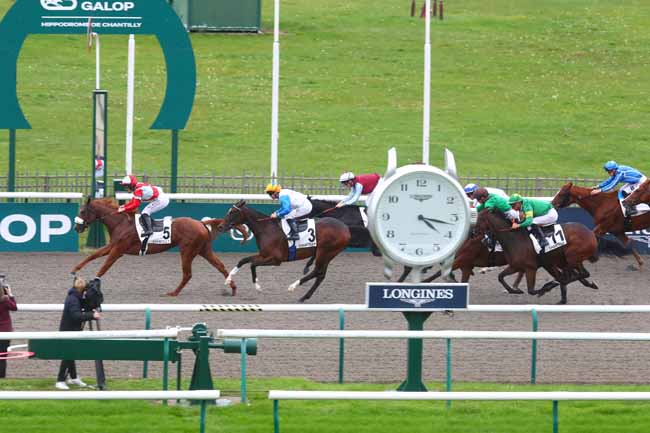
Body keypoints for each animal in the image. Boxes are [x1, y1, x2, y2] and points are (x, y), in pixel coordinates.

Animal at [71, 197, 248, 296]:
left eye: (82, 211)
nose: (77, 227)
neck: (120, 222)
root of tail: (201, 223)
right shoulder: (113, 246)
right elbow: (93, 255)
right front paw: (75, 269)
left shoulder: (118, 250)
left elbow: (104, 267)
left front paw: (93, 283)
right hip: (203, 250)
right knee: (220, 266)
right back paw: (232, 287)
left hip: (187, 251)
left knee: (187, 274)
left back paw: (174, 293)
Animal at [216, 198, 350, 300]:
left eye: (232, 212)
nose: (220, 226)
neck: (266, 229)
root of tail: (345, 229)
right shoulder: (263, 255)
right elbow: (243, 260)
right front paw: (228, 279)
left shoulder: (276, 260)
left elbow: (252, 264)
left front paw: (257, 286)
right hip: (327, 254)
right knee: (320, 275)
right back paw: (304, 297)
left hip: (325, 252)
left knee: (317, 271)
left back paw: (293, 286)